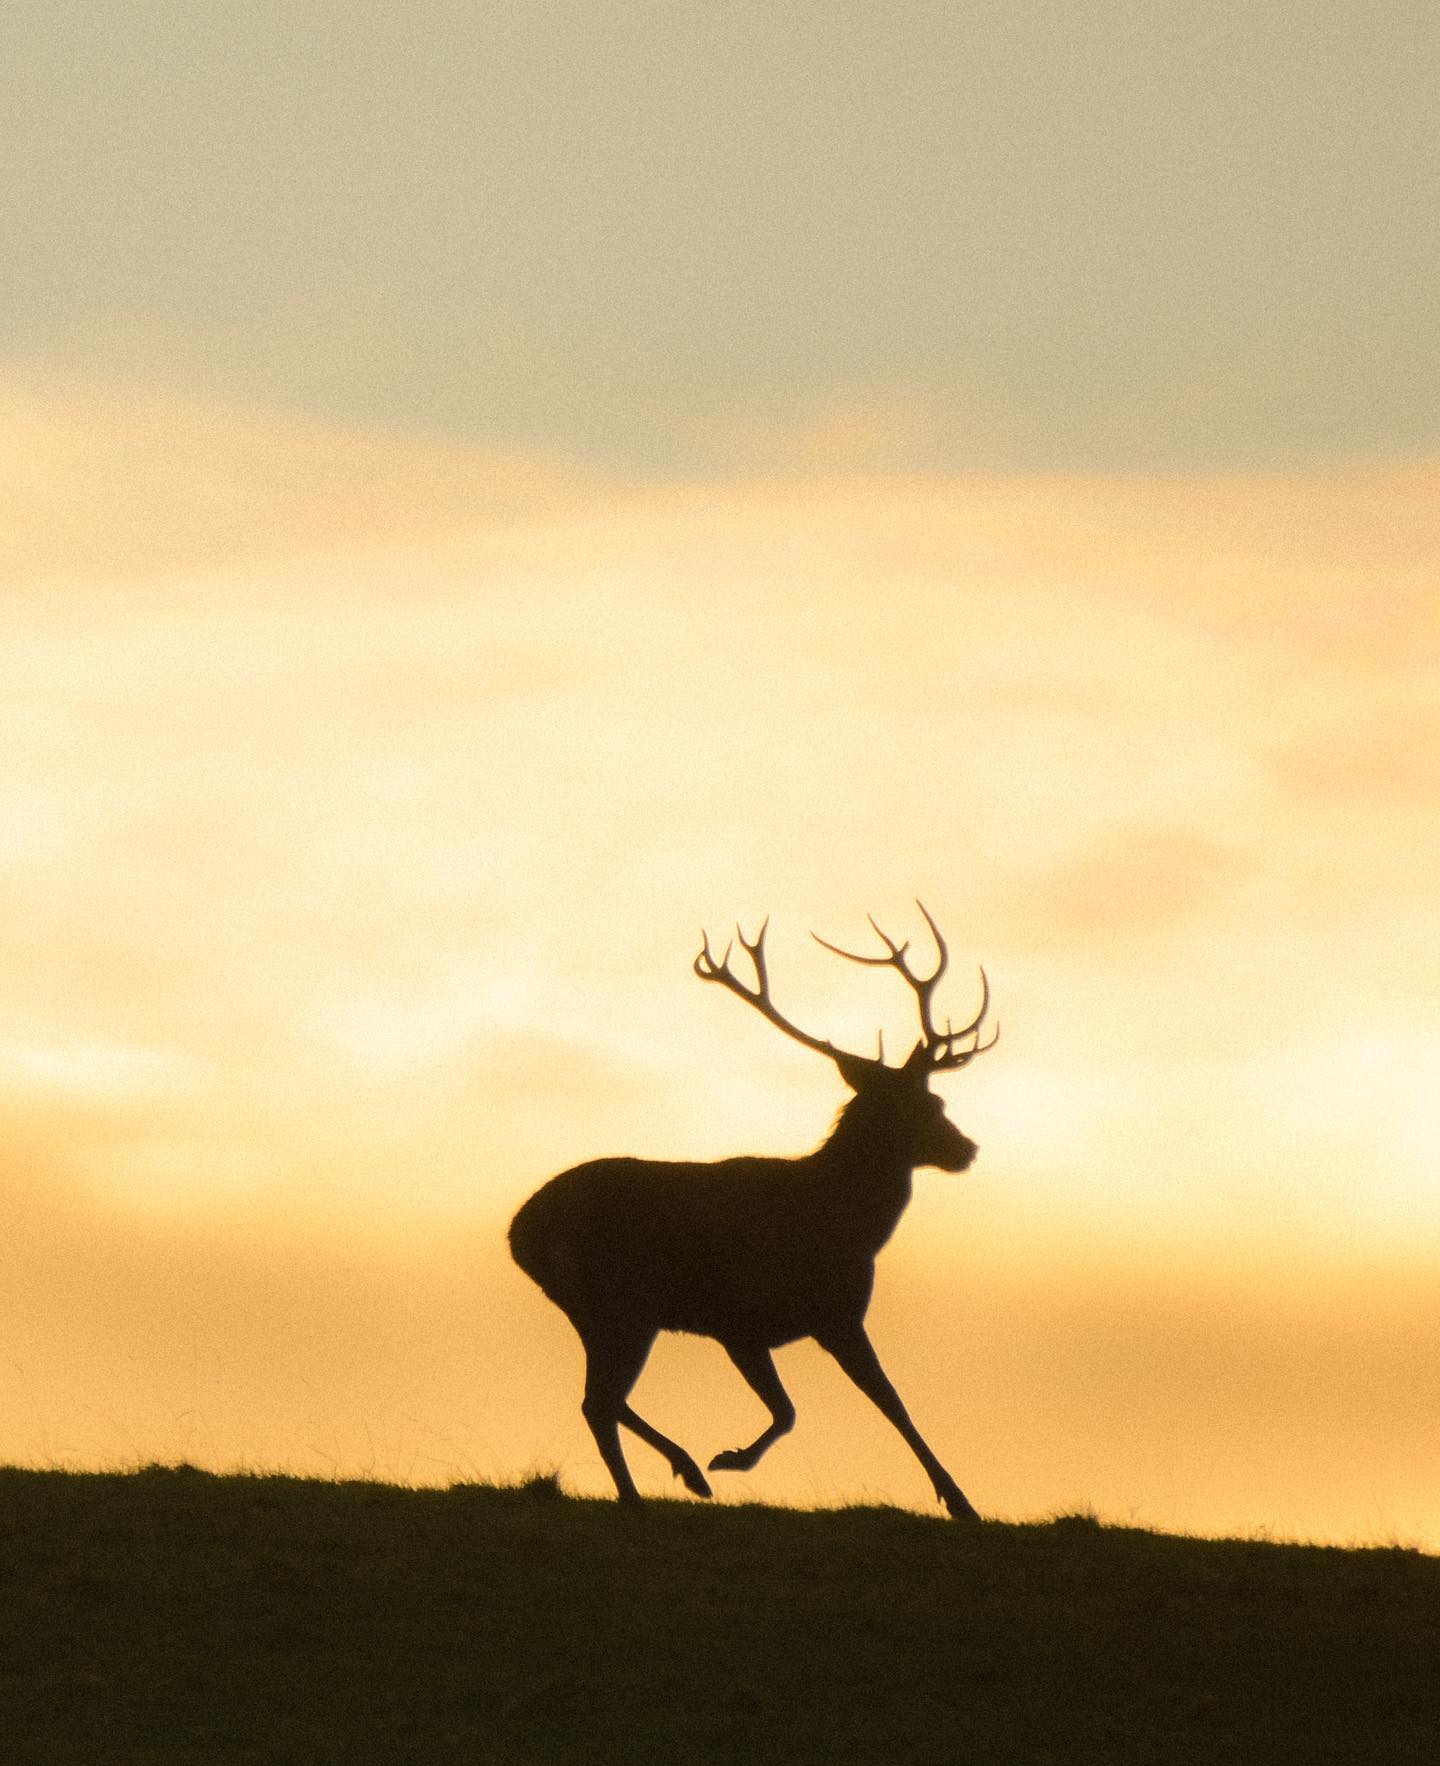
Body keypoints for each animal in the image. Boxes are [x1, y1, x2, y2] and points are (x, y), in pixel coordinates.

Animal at [508, 905, 998, 1519]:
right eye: (928, 1104)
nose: (966, 1149)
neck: (848, 1224)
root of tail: (519, 1233)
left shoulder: (800, 1322)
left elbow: (858, 1404)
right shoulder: (765, 1319)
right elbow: (844, 1406)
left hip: (596, 1310)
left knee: (601, 1400)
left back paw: (670, 1476)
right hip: (621, 1302)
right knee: (599, 1401)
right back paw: (660, 1485)